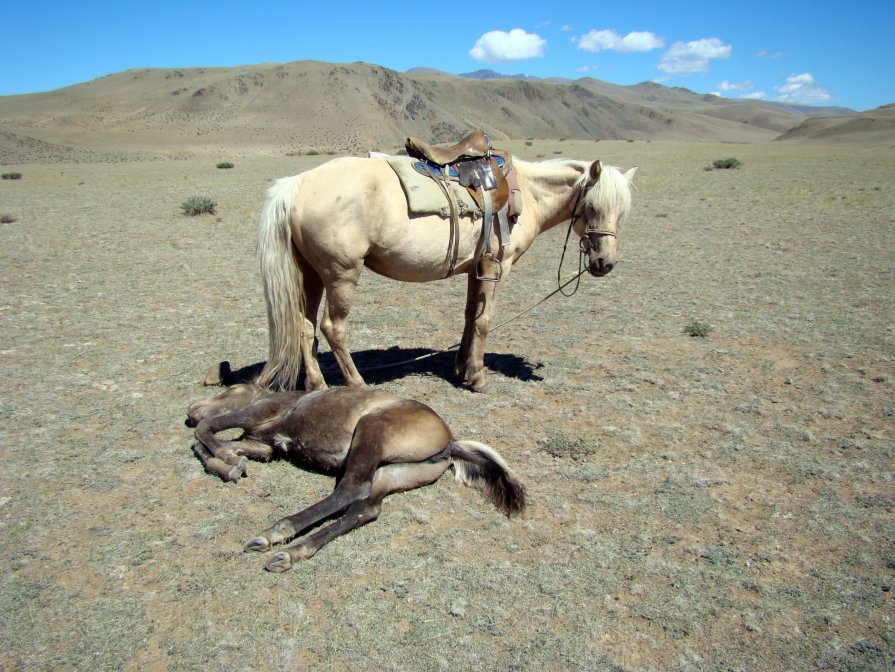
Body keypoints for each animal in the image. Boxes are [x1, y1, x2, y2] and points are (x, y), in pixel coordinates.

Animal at [186, 384, 528, 572]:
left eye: (230, 390)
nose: (191, 408)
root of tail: (451, 442)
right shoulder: (263, 446)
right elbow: (211, 444)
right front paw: (230, 463)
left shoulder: (254, 415)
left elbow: (205, 430)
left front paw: (226, 459)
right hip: (390, 473)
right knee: (365, 508)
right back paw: (289, 552)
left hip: (370, 431)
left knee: (350, 491)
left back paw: (276, 534)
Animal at [258, 156, 636, 392]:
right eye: (592, 207)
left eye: (623, 212)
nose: (604, 262)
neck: (525, 194)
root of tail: (298, 183)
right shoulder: (497, 267)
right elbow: (484, 321)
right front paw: (478, 378)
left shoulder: (476, 268)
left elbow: (470, 316)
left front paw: (461, 368)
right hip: (341, 274)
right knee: (331, 327)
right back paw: (356, 384)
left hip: (311, 274)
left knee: (305, 327)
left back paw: (317, 384)